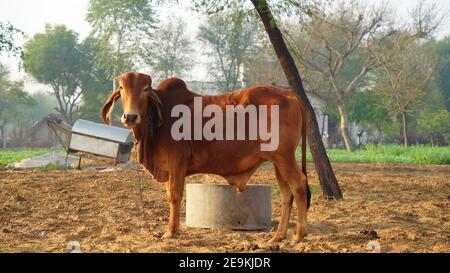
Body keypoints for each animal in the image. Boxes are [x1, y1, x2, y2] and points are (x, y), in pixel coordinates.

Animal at [101, 71, 310, 240]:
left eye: (145, 89)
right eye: (121, 88)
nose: (130, 117)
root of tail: (290, 95)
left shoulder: (177, 162)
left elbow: (175, 196)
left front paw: (170, 231)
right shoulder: (169, 168)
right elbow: (170, 195)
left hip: (284, 158)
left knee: (299, 185)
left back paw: (299, 235)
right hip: (277, 161)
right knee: (286, 194)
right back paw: (278, 236)